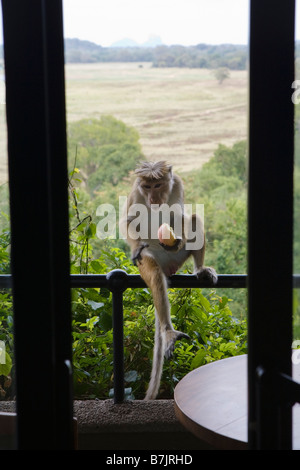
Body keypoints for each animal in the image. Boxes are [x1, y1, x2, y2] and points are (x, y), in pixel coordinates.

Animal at [120, 162, 218, 400]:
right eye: (147, 186)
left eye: (157, 185)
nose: (153, 197)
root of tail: (169, 265)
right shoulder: (136, 193)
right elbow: (128, 221)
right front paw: (136, 246)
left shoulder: (178, 185)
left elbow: (179, 215)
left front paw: (178, 236)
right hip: (151, 261)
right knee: (155, 273)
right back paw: (168, 331)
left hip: (178, 258)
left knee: (194, 218)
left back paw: (200, 269)